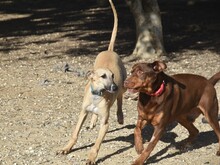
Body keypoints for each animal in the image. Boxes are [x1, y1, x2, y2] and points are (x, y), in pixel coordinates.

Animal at [56, 0, 126, 164]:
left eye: (112, 75)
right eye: (103, 76)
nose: (114, 86)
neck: (97, 95)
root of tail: (110, 50)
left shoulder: (105, 124)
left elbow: (97, 143)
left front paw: (91, 157)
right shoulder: (82, 113)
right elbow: (75, 133)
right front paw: (66, 148)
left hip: (123, 84)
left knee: (120, 99)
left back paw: (120, 116)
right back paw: (93, 120)